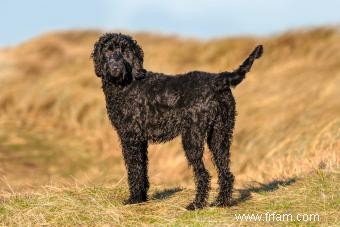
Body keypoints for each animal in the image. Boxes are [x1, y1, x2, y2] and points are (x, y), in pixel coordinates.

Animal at [91, 32, 262, 210]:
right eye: (108, 50)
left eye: (126, 52)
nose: (115, 68)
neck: (126, 84)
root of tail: (217, 80)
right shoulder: (140, 141)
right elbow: (142, 170)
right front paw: (142, 198)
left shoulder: (130, 138)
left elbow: (134, 170)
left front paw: (135, 199)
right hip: (220, 136)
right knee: (226, 172)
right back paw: (222, 202)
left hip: (192, 139)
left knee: (203, 174)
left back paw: (196, 204)